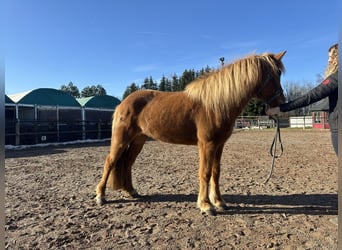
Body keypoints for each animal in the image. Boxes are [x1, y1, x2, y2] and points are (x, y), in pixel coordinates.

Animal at [96, 50, 286, 215]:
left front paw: (219, 202)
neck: (216, 105)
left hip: (138, 140)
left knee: (128, 163)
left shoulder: (219, 145)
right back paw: (101, 196)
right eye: (276, 73)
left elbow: (216, 173)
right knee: (110, 162)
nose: (282, 103)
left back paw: (131, 191)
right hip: (121, 139)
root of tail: (122, 104)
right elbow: (205, 172)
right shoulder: (207, 144)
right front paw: (206, 205)